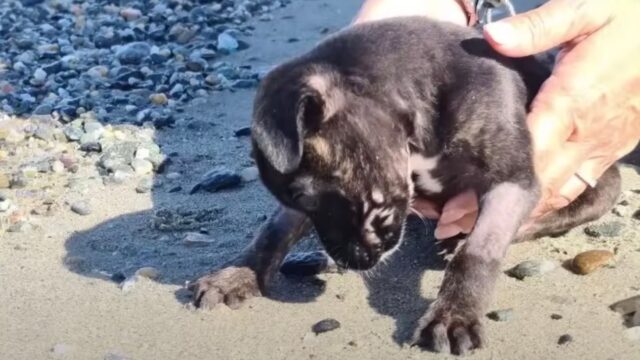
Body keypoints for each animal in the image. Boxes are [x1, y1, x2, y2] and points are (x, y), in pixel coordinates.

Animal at [189, 16, 620, 354]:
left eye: (307, 195)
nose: (353, 262)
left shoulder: (512, 180)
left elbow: (480, 250)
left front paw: (454, 314)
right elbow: (274, 230)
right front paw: (239, 274)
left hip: (600, 184)